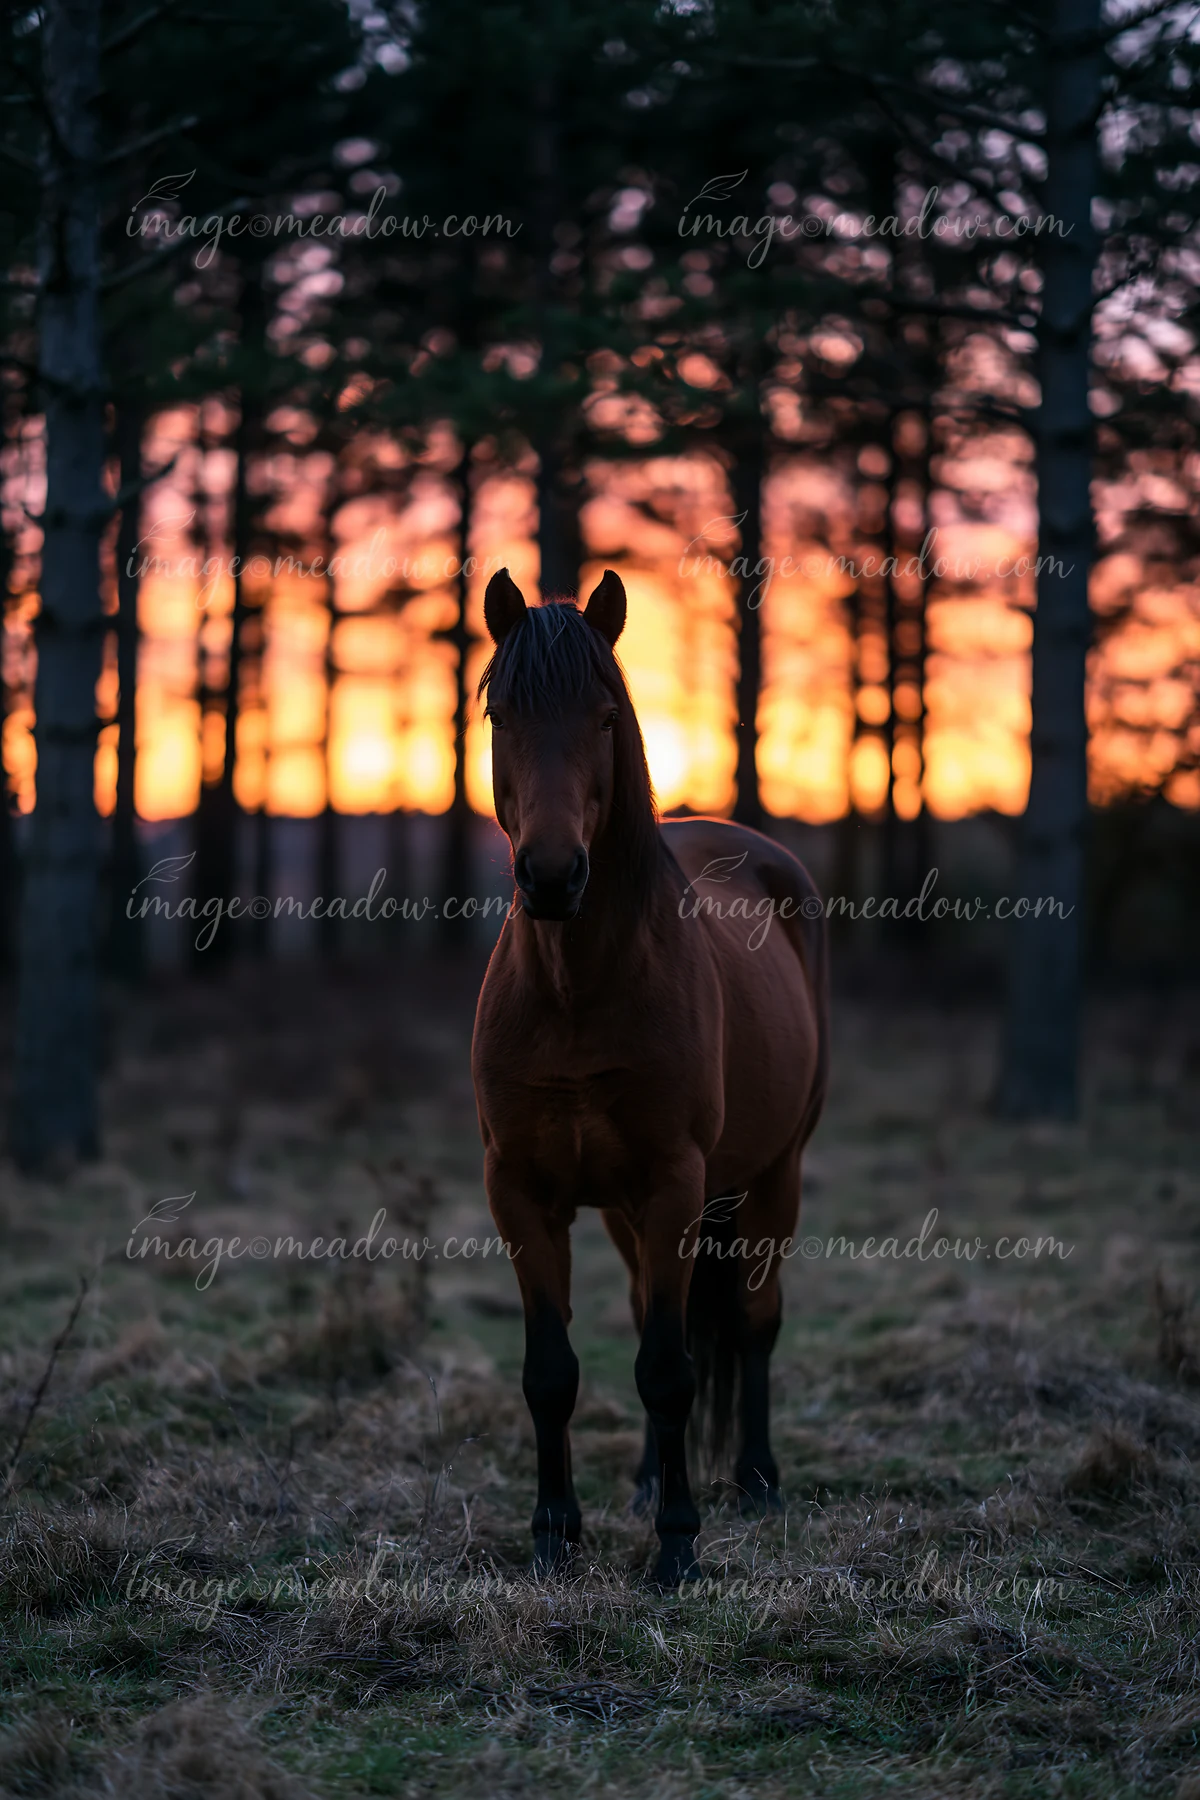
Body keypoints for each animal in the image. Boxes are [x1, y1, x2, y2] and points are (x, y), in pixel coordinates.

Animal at [471, 567, 829, 1586]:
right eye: (500, 712)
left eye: (604, 716)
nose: (553, 876)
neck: (577, 991)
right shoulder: (522, 1193)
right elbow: (553, 1371)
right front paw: (555, 1533)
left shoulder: (676, 1183)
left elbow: (672, 1371)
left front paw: (676, 1547)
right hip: (632, 1215)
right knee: (648, 1314)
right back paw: (639, 1485)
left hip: (772, 1175)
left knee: (752, 1319)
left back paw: (756, 1481)